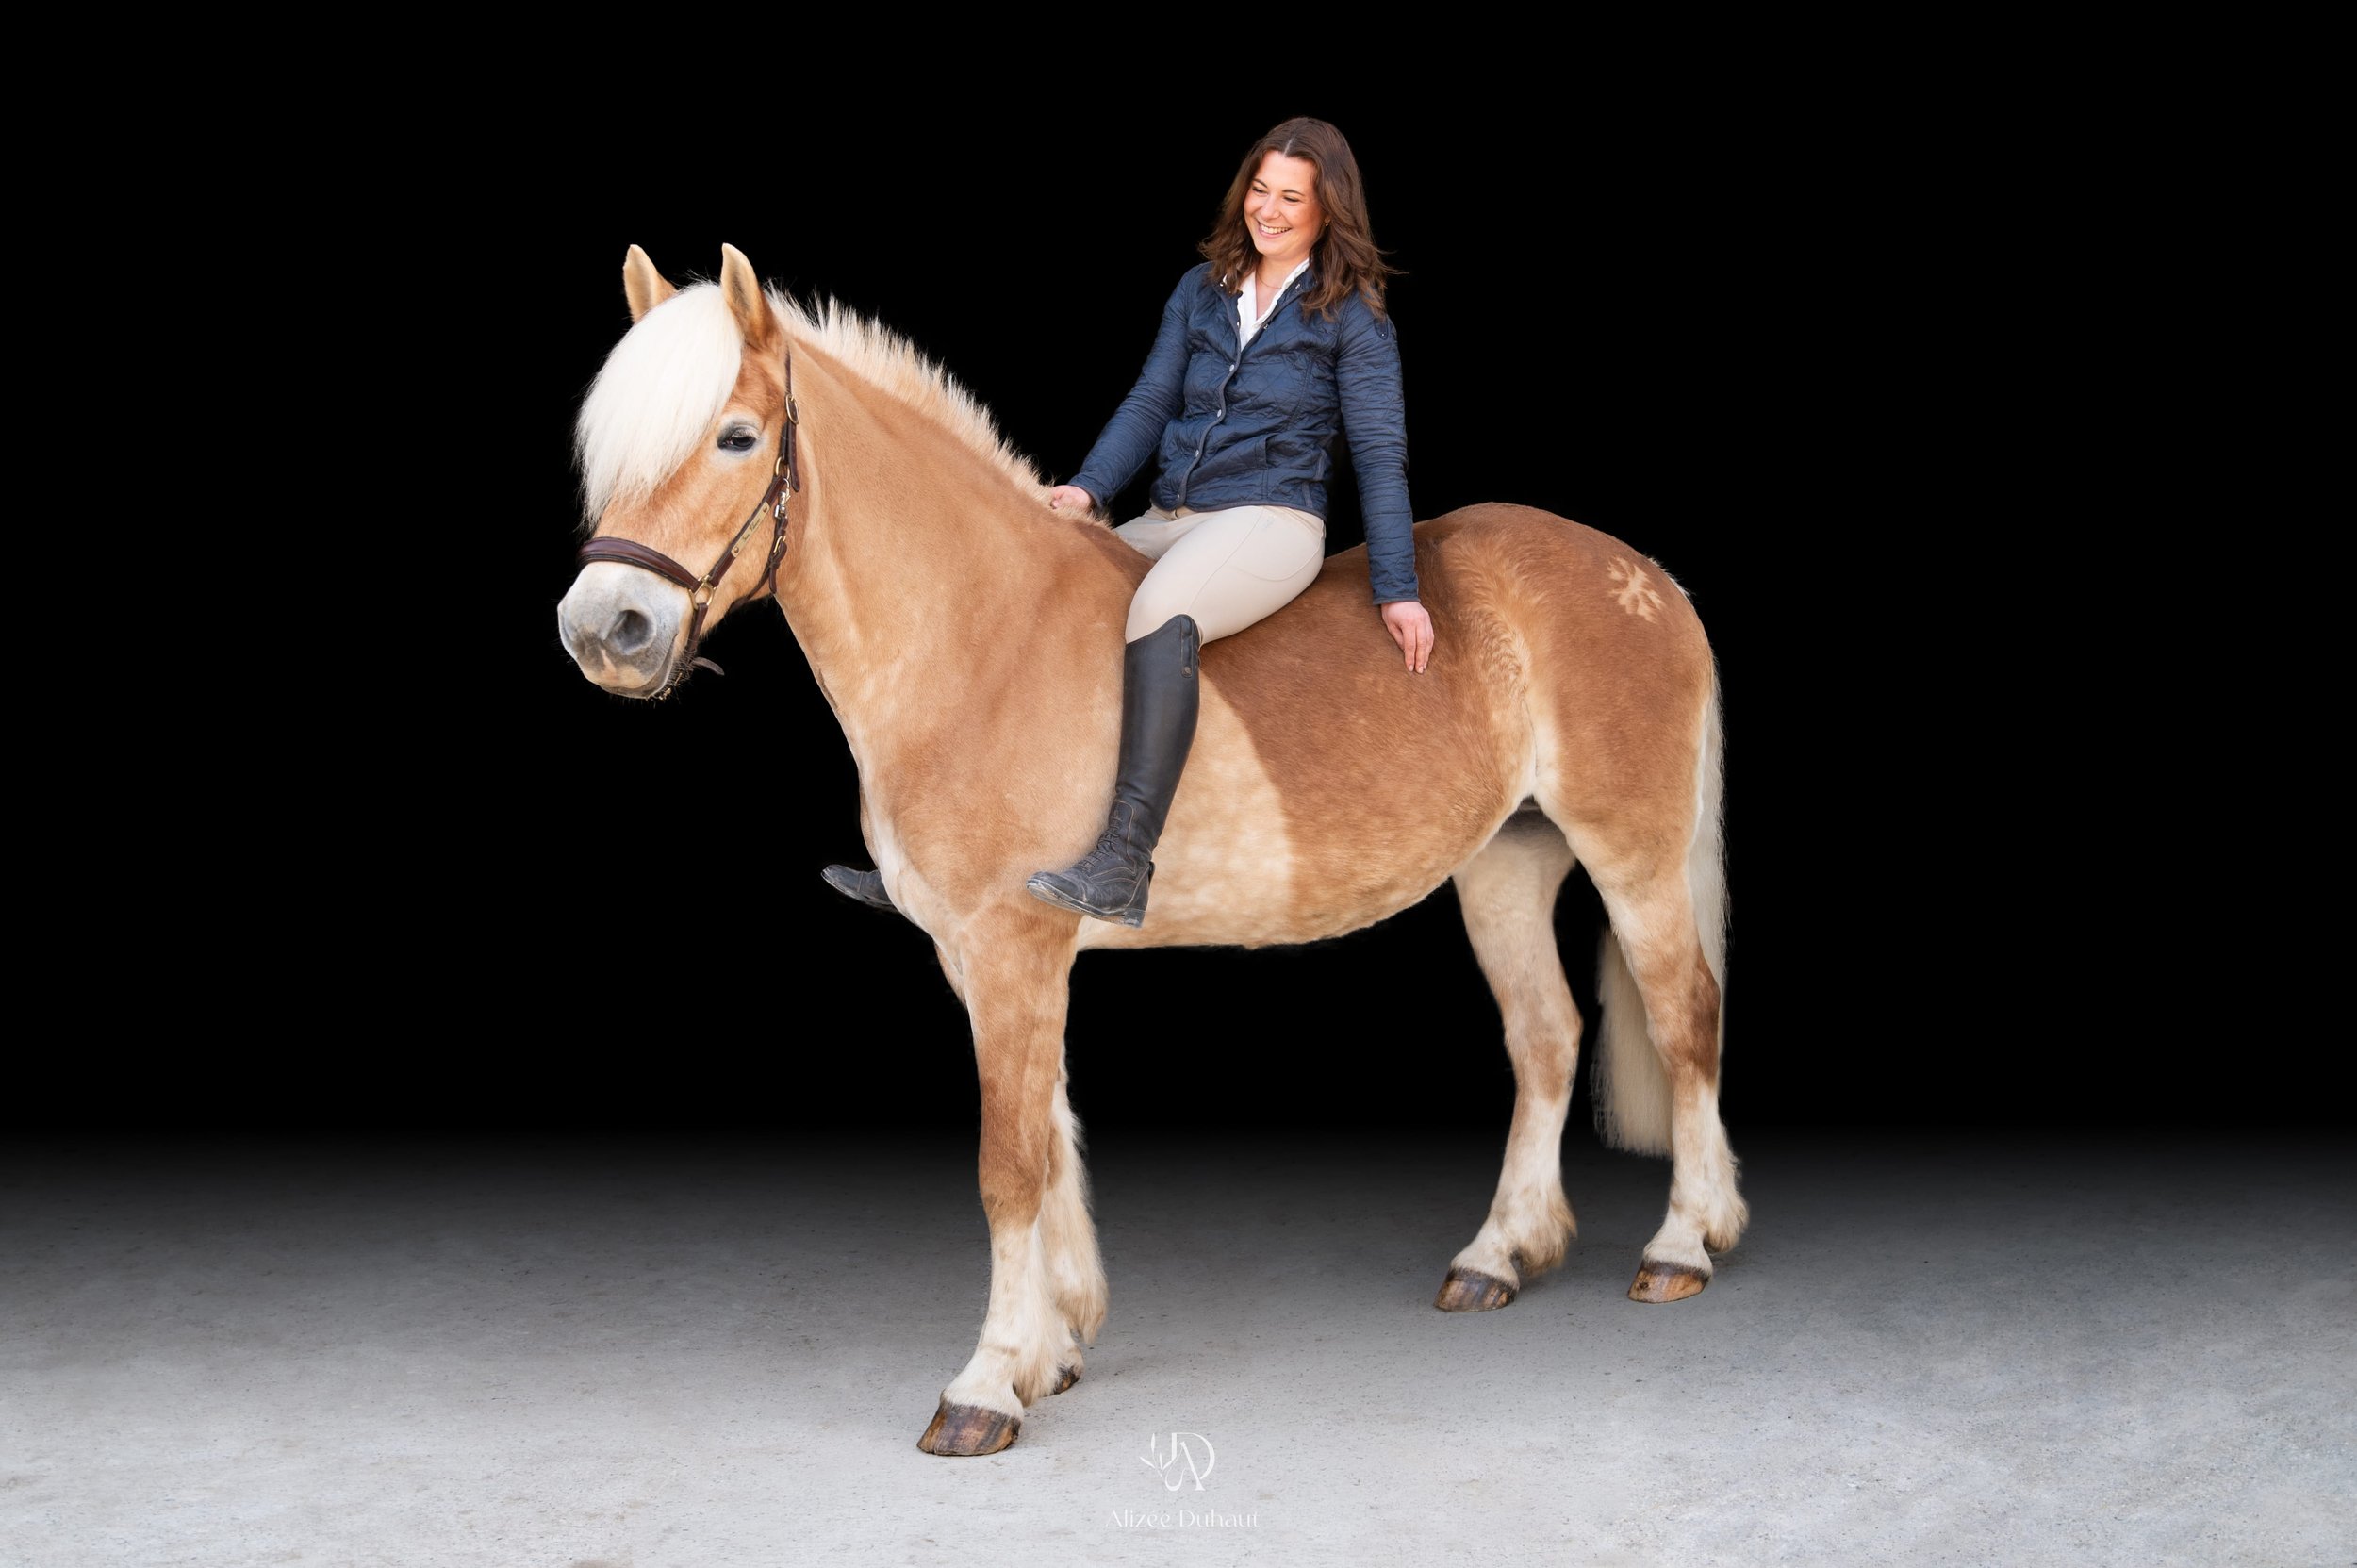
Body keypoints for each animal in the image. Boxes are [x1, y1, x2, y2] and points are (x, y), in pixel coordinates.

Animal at [555, 244, 1746, 1456]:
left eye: (736, 436)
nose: (604, 629)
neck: (979, 636)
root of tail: (1645, 574)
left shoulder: (1012, 950)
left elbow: (1009, 1165)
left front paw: (985, 1386)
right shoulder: (993, 960)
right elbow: (1047, 1141)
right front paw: (1049, 1353)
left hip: (1634, 857)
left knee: (1682, 1018)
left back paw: (1681, 1244)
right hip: (1504, 864)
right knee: (1545, 1041)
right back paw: (1497, 1255)